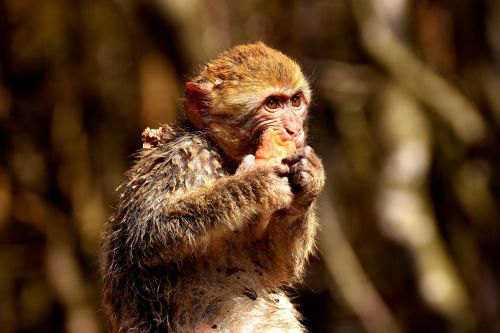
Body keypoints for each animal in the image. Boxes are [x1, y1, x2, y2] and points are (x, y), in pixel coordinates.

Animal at [100, 42, 326, 332]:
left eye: (295, 101)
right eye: (272, 104)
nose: (294, 130)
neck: (222, 154)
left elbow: (274, 264)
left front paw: (309, 180)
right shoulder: (184, 157)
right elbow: (146, 233)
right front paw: (256, 183)